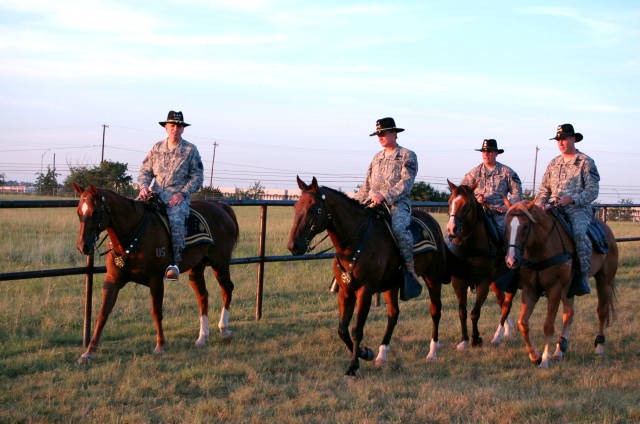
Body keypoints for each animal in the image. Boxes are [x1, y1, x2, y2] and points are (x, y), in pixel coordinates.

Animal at [72, 183, 238, 364]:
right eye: (79, 212)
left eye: (95, 212)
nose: (83, 246)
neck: (133, 236)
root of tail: (221, 207)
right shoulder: (112, 280)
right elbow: (103, 313)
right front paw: (89, 352)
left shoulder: (156, 281)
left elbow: (156, 312)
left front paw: (160, 345)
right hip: (197, 269)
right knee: (203, 297)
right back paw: (202, 337)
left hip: (220, 264)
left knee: (227, 290)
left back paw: (224, 330)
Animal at [288, 177, 448, 376]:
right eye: (296, 207)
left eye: (311, 208)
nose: (294, 246)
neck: (355, 243)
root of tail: (433, 222)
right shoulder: (345, 291)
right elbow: (342, 329)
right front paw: (365, 353)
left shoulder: (365, 291)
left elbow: (357, 329)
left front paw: (353, 365)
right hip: (392, 285)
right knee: (393, 314)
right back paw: (382, 354)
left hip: (433, 278)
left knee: (435, 311)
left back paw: (432, 352)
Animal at [448, 181, 516, 350]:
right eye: (450, 201)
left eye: (466, 204)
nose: (451, 229)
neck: (469, 247)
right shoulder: (458, 282)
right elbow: (462, 312)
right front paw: (464, 340)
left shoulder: (483, 282)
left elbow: (474, 313)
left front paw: (475, 339)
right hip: (496, 281)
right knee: (501, 301)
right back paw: (507, 329)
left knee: (506, 305)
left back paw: (498, 336)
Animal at [502, 201, 616, 368]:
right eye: (507, 226)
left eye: (526, 226)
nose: (511, 261)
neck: (541, 247)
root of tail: (608, 232)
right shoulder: (530, 289)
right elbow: (523, 323)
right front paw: (535, 355)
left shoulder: (554, 289)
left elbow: (548, 325)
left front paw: (544, 359)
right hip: (567, 288)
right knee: (569, 313)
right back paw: (559, 350)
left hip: (604, 281)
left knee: (602, 312)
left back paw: (599, 347)